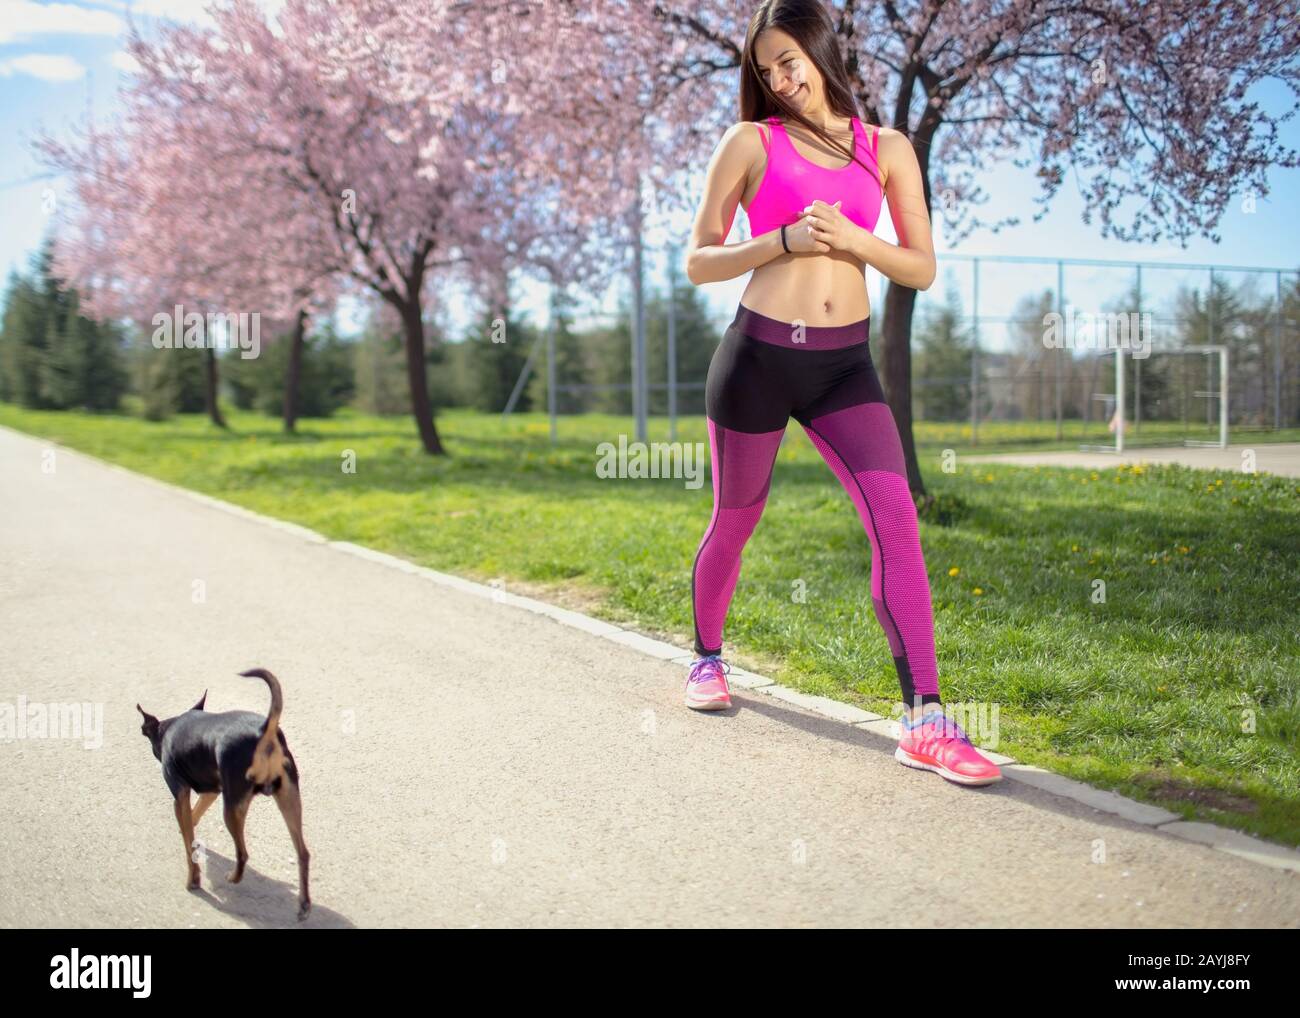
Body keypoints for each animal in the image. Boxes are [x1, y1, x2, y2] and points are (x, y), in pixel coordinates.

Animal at [137, 670, 312, 925]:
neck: (172, 727)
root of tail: (264, 730)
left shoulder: (180, 794)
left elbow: (189, 845)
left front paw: (193, 879)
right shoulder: (211, 791)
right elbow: (192, 818)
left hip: (232, 807)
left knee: (243, 853)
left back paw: (233, 877)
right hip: (289, 798)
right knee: (303, 853)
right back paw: (304, 905)